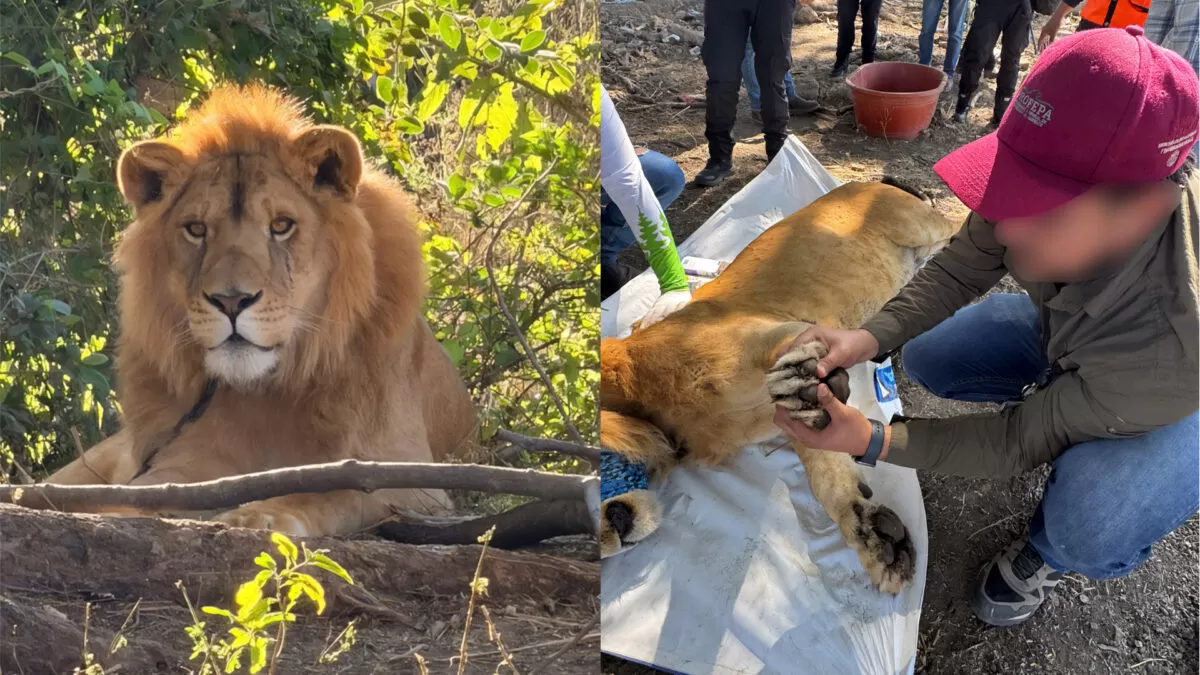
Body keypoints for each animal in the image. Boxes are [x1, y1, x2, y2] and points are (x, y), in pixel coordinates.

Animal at [46, 84, 478, 537]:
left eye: (281, 225)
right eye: (196, 229)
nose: (231, 301)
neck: (269, 388)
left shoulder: (416, 481)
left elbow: (336, 490)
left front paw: (256, 514)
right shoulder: (184, 463)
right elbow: (137, 498)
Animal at [599, 179, 958, 593]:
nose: (613, 530)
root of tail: (868, 181)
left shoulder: (780, 328)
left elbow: (789, 351)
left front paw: (798, 376)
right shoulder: (792, 426)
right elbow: (827, 477)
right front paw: (874, 537)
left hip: (918, 225)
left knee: (964, 224)